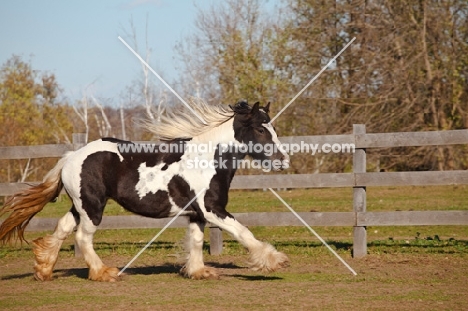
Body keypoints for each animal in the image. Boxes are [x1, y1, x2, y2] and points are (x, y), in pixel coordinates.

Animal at [0, 100, 290, 282]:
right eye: (261, 128)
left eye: (273, 127)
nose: (283, 160)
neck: (206, 159)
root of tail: (72, 156)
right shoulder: (212, 209)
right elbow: (244, 232)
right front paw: (275, 261)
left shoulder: (196, 213)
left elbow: (197, 241)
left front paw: (199, 272)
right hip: (93, 207)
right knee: (83, 237)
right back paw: (103, 273)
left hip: (81, 205)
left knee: (62, 229)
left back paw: (43, 270)